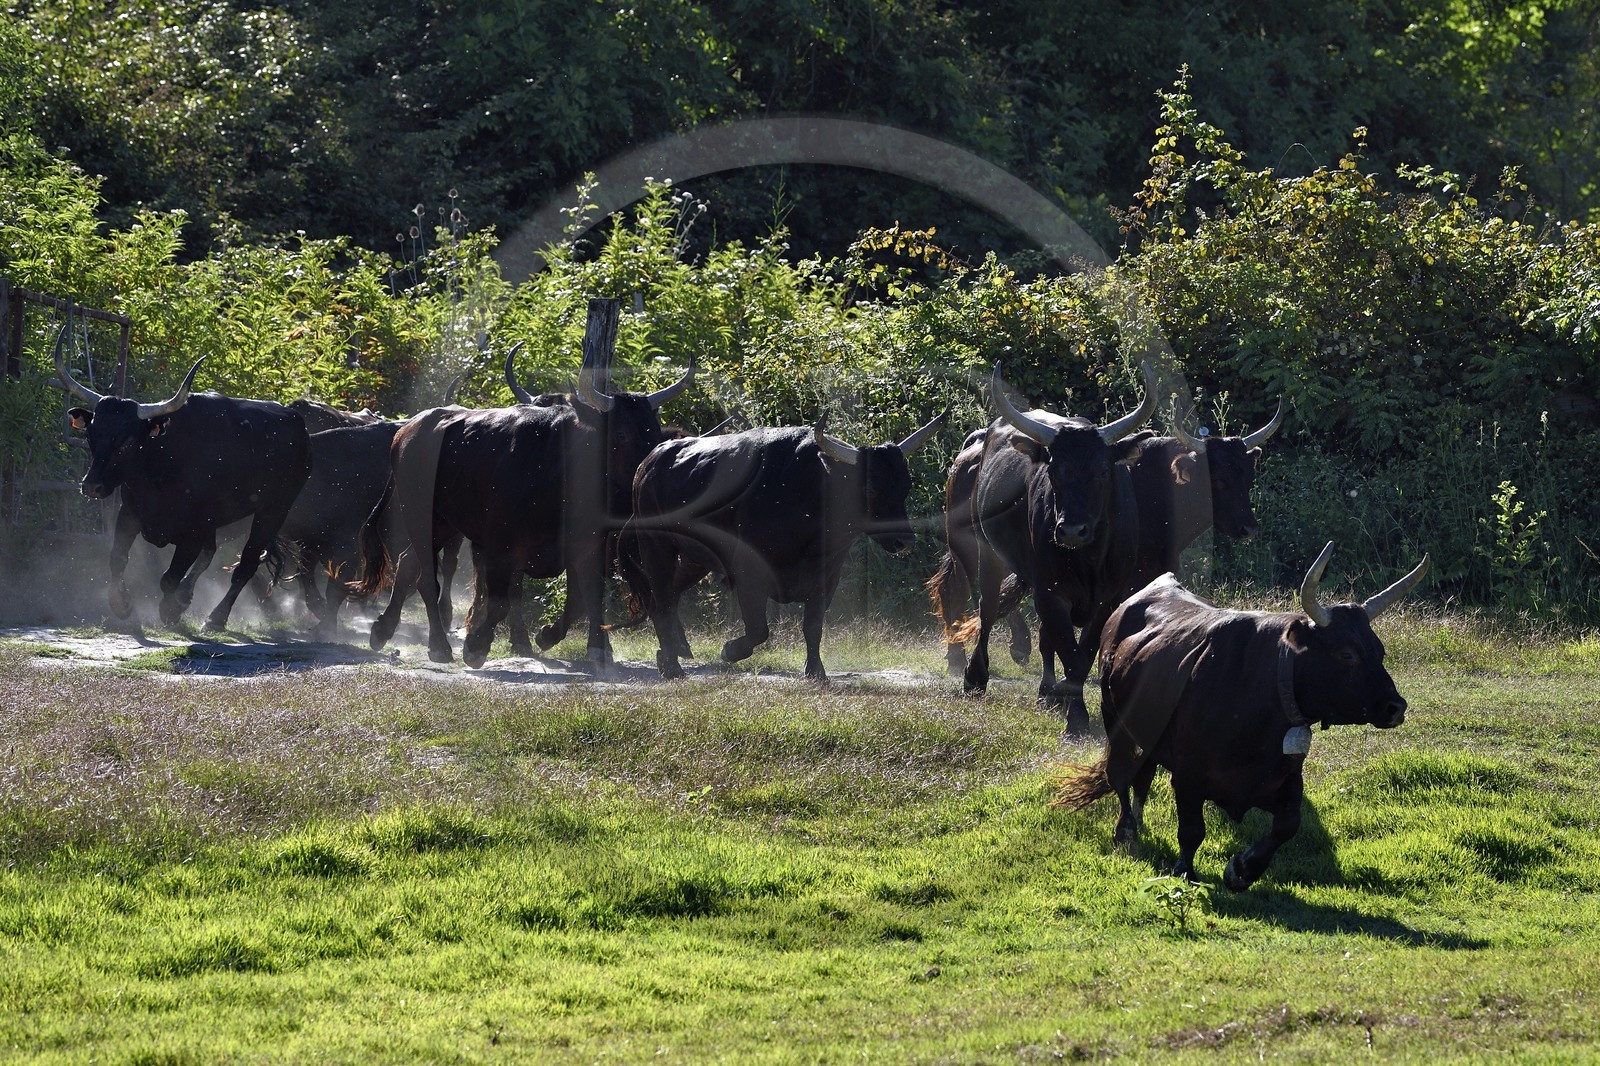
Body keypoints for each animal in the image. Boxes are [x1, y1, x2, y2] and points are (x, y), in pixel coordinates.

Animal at [54, 330, 312, 630]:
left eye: (127, 441)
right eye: (91, 435)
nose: (91, 486)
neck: (161, 469)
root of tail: (297, 423)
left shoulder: (193, 532)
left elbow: (169, 577)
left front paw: (170, 609)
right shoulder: (130, 514)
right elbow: (117, 559)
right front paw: (122, 604)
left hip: (273, 511)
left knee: (245, 565)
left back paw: (216, 617)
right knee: (212, 553)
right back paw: (188, 595)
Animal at [354, 357, 693, 667]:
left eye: (655, 432)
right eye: (621, 434)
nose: (648, 470)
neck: (561, 471)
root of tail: (405, 432)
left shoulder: (586, 544)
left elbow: (585, 598)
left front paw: (577, 643)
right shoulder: (500, 548)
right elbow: (502, 602)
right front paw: (477, 646)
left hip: (445, 524)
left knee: (407, 563)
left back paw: (383, 631)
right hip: (420, 516)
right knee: (426, 577)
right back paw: (438, 646)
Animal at [621, 411, 946, 681]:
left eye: (904, 486)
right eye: (870, 488)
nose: (905, 542)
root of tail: (649, 462)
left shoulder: (826, 576)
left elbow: (812, 626)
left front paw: (816, 671)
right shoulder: (749, 575)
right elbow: (758, 630)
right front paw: (730, 650)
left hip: (694, 560)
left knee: (666, 598)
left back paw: (668, 655)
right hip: (656, 547)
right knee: (662, 599)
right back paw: (672, 667)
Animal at [957, 363, 1157, 728]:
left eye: (1102, 471)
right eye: (1054, 471)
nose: (1071, 531)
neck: (1089, 559)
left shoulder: (1108, 598)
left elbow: (1082, 654)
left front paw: (1064, 700)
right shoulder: (1051, 592)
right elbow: (1069, 650)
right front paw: (1075, 718)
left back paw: (1047, 693)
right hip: (988, 553)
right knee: (988, 607)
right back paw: (975, 677)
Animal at [1051, 543, 1429, 890]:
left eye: (1379, 651)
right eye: (1347, 654)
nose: (1395, 707)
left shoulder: (1284, 779)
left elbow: (1288, 824)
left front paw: (1243, 868)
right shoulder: (1188, 776)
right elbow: (1191, 831)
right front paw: (1185, 870)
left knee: (1142, 777)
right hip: (1115, 721)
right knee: (1119, 775)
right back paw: (1126, 831)